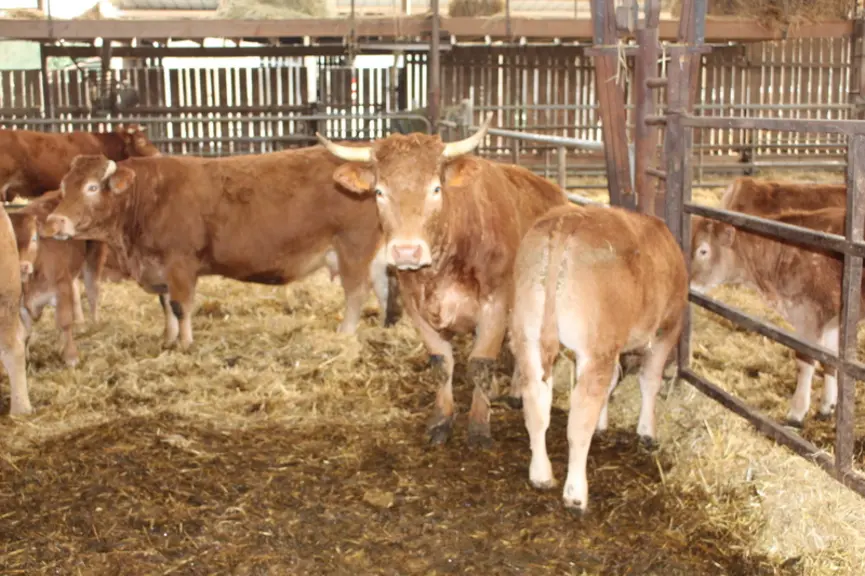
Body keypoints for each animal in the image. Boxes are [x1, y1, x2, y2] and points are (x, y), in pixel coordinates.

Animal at [41, 147, 386, 350]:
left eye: (92, 187)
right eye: (64, 187)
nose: (54, 223)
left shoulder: (180, 263)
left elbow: (181, 306)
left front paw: (185, 344)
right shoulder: (159, 267)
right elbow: (165, 306)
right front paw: (167, 339)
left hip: (353, 247)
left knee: (357, 293)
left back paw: (344, 333)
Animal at [315, 114, 570, 448]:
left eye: (435, 189)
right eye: (379, 192)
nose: (406, 251)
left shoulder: (495, 305)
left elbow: (480, 364)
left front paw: (479, 425)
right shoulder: (416, 309)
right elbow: (441, 363)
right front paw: (441, 420)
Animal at [509, 204, 687, 513]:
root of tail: (568, 219)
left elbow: (614, 380)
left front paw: (604, 422)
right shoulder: (666, 329)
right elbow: (649, 381)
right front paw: (647, 432)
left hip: (528, 336)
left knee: (536, 405)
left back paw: (541, 475)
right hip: (595, 349)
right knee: (579, 419)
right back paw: (576, 494)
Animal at [689, 207, 851, 427]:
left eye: (703, 251)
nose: (686, 283)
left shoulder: (809, 317)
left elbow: (805, 363)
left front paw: (796, 413)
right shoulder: (832, 320)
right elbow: (830, 360)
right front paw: (827, 406)